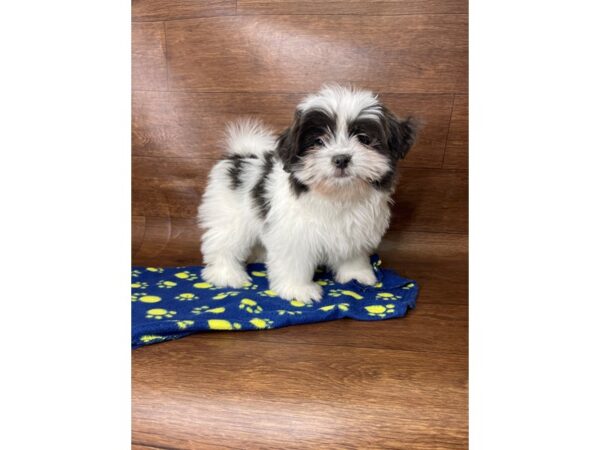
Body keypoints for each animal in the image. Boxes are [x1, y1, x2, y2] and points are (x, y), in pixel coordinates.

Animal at [197, 84, 418, 304]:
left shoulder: (354, 230)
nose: (341, 159)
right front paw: (297, 289)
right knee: (223, 243)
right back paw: (226, 274)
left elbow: (352, 255)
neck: (337, 196)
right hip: (229, 216)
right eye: (318, 142)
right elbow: (294, 262)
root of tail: (240, 155)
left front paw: (355, 275)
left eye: (363, 138)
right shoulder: (293, 234)